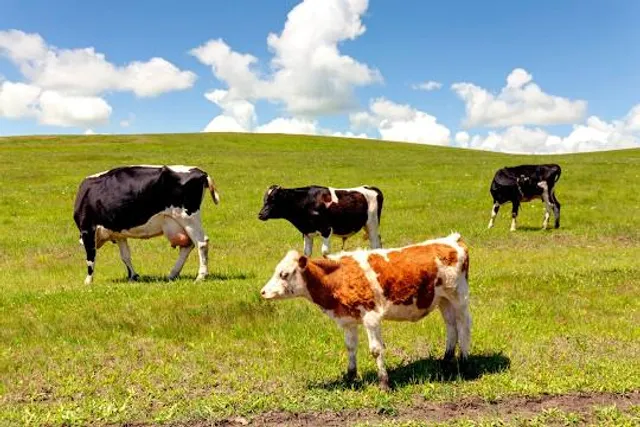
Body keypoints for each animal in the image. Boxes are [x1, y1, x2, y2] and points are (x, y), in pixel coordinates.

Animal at [73, 165, 220, 284]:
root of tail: (201, 172)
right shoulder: (119, 234)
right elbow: (125, 256)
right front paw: (133, 276)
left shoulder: (87, 229)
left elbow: (90, 257)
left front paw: (88, 281)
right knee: (188, 246)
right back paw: (172, 274)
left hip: (188, 218)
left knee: (201, 243)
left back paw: (200, 276)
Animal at [260, 232, 471, 391]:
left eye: (284, 274)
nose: (263, 292)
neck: (338, 278)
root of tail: (452, 239)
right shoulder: (347, 320)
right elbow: (350, 347)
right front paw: (350, 377)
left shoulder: (371, 317)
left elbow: (376, 350)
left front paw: (384, 384)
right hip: (443, 300)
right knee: (451, 326)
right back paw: (446, 362)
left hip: (459, 297)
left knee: (464, 326)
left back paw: (465, 364)